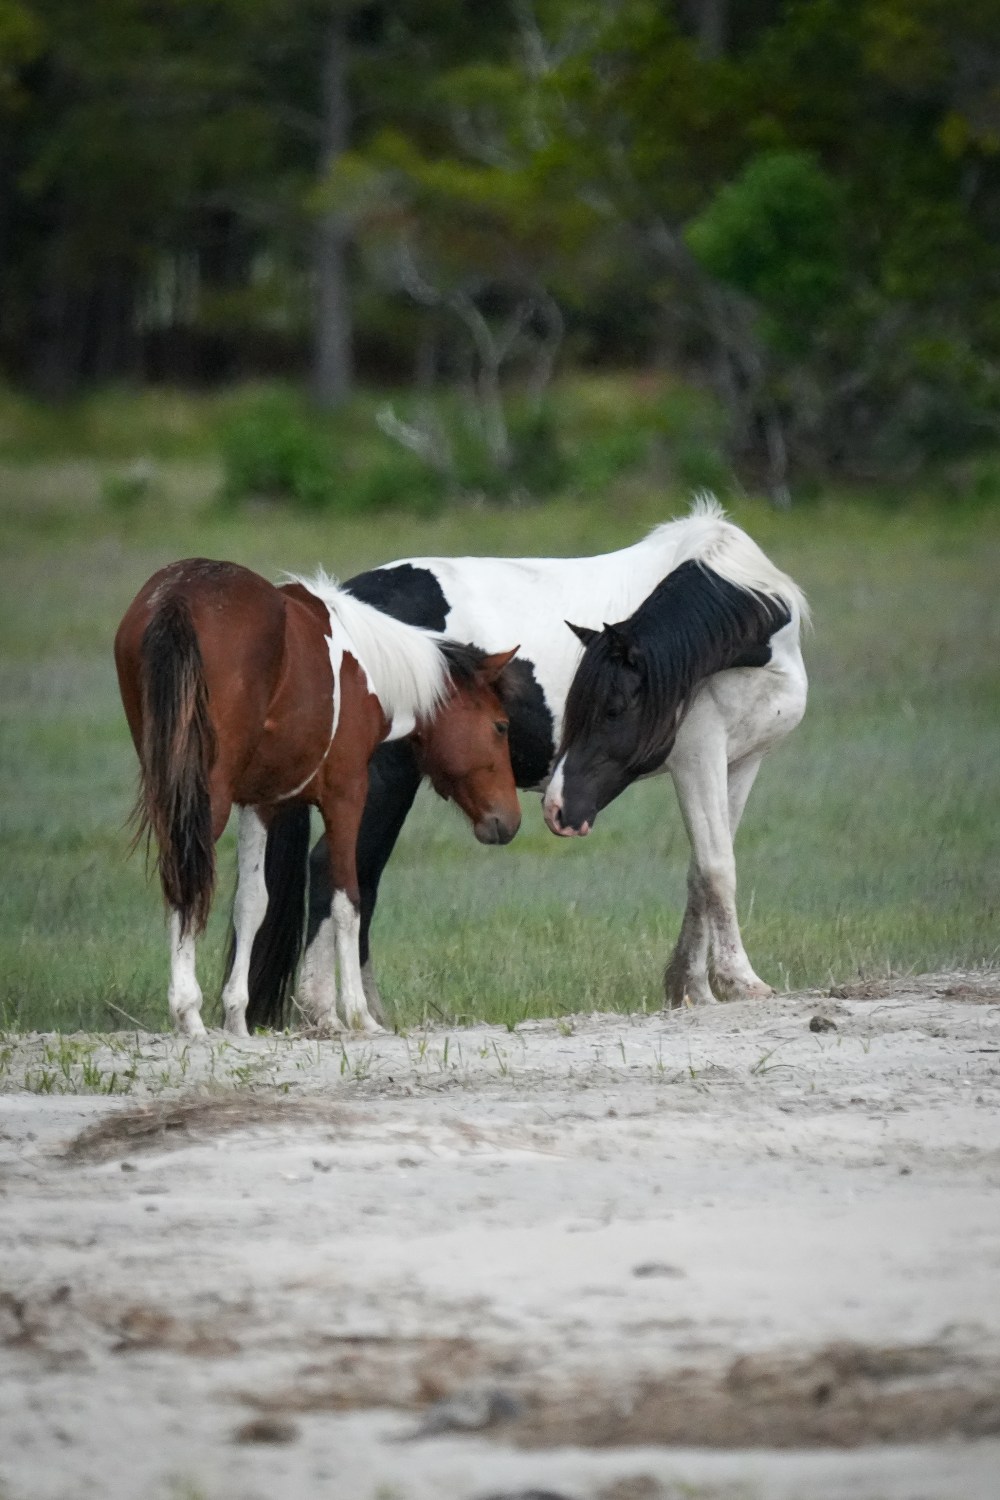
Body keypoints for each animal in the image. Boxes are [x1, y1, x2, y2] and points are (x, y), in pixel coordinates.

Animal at [114, 558, 520, 1037]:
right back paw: (188, 1012)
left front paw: (236, 1016)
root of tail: (177, 595)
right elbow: (347, 901)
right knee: (188, 880)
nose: (509, 820)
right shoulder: (347, 795)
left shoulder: (261, 803)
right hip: (206, 798)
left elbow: (252, 903)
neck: (367, 669)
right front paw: (360, 1015)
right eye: (500, 726)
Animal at [243, 495, 808, 1027]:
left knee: (361, 874)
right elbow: (717, 868)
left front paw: (692, 988)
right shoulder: (698, 755)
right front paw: (739, 982)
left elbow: (700, 870)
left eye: (612, 708)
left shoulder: (741, 761)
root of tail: (329, 618)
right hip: (383, 782)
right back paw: (321, 1010)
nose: (559, 810)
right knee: (334, 869)